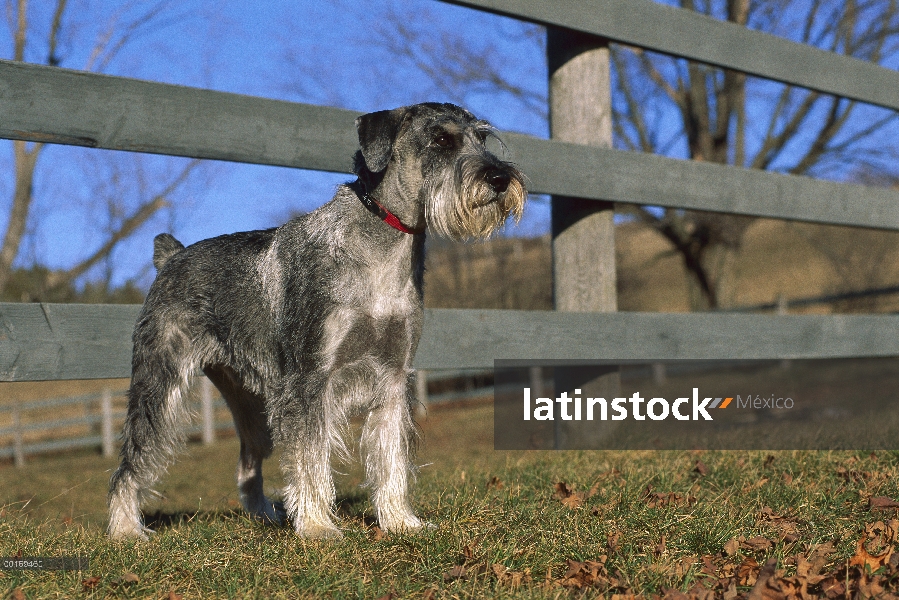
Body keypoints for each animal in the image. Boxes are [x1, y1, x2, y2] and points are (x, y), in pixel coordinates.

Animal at [107, 102, 528, 540]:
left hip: (252, 406)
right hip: (160, 386)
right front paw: (316, 526)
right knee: (132, 461)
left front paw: (401, 520)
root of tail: (172, 258)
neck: (384, 248)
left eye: (482, 138)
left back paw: (264, 514)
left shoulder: (394, 379)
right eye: (442, 139)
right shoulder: (309, 380)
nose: (500, 178)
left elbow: (391, 457)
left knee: (247, 460)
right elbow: (310, 457)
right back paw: (126, 529)